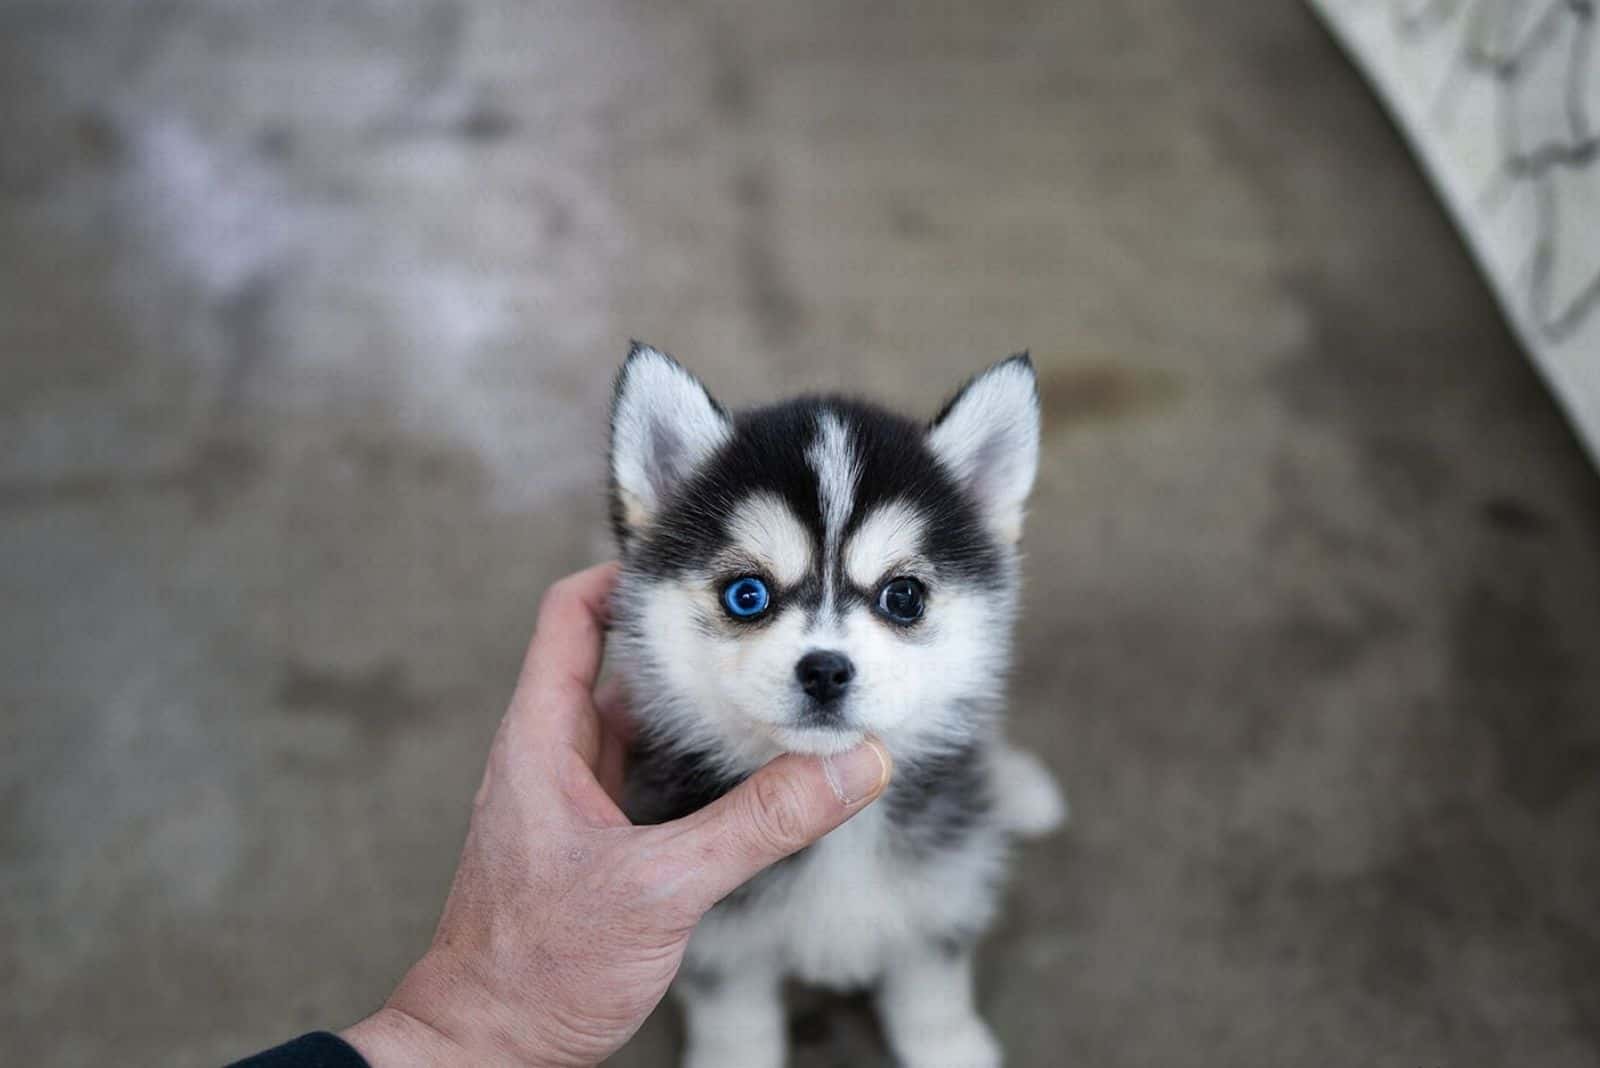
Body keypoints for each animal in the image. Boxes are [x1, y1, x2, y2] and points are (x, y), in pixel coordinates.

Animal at [604, 346, 1068, 1061]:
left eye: (903, 596)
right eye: (746, 595)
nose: (824, 670)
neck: (840, 832)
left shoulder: (942, 892)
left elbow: (932, 989)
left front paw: (947, 1046)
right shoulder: (717, 934)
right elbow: (735, 1019)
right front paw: (734, 1058)